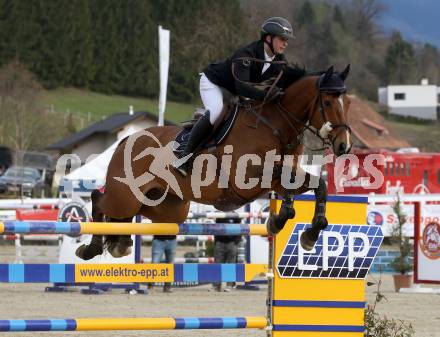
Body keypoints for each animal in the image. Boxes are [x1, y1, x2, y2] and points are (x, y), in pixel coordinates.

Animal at [75, 65, 350, 260]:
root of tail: (127, 139)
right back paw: (91, 249)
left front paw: (306, 232)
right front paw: (284, 222)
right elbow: (289, 188)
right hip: (125, 196)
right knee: (99, 199)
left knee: (130, 214)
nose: (343, 146)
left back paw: (120, 242)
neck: (276, 124)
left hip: (167, 207)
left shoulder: (282, 177)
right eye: (327, 102)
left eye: (346, 103)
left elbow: (317, 186)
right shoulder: (248, 176)